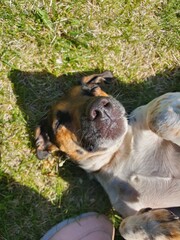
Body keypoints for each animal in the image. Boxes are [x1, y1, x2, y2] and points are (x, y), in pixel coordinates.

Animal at [35, 71, 180, 240]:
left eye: (92, 89)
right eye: (59, 122)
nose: (99, 109)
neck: (118, 153)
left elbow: (155, 116)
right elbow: (123, 226)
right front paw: (157, 226)